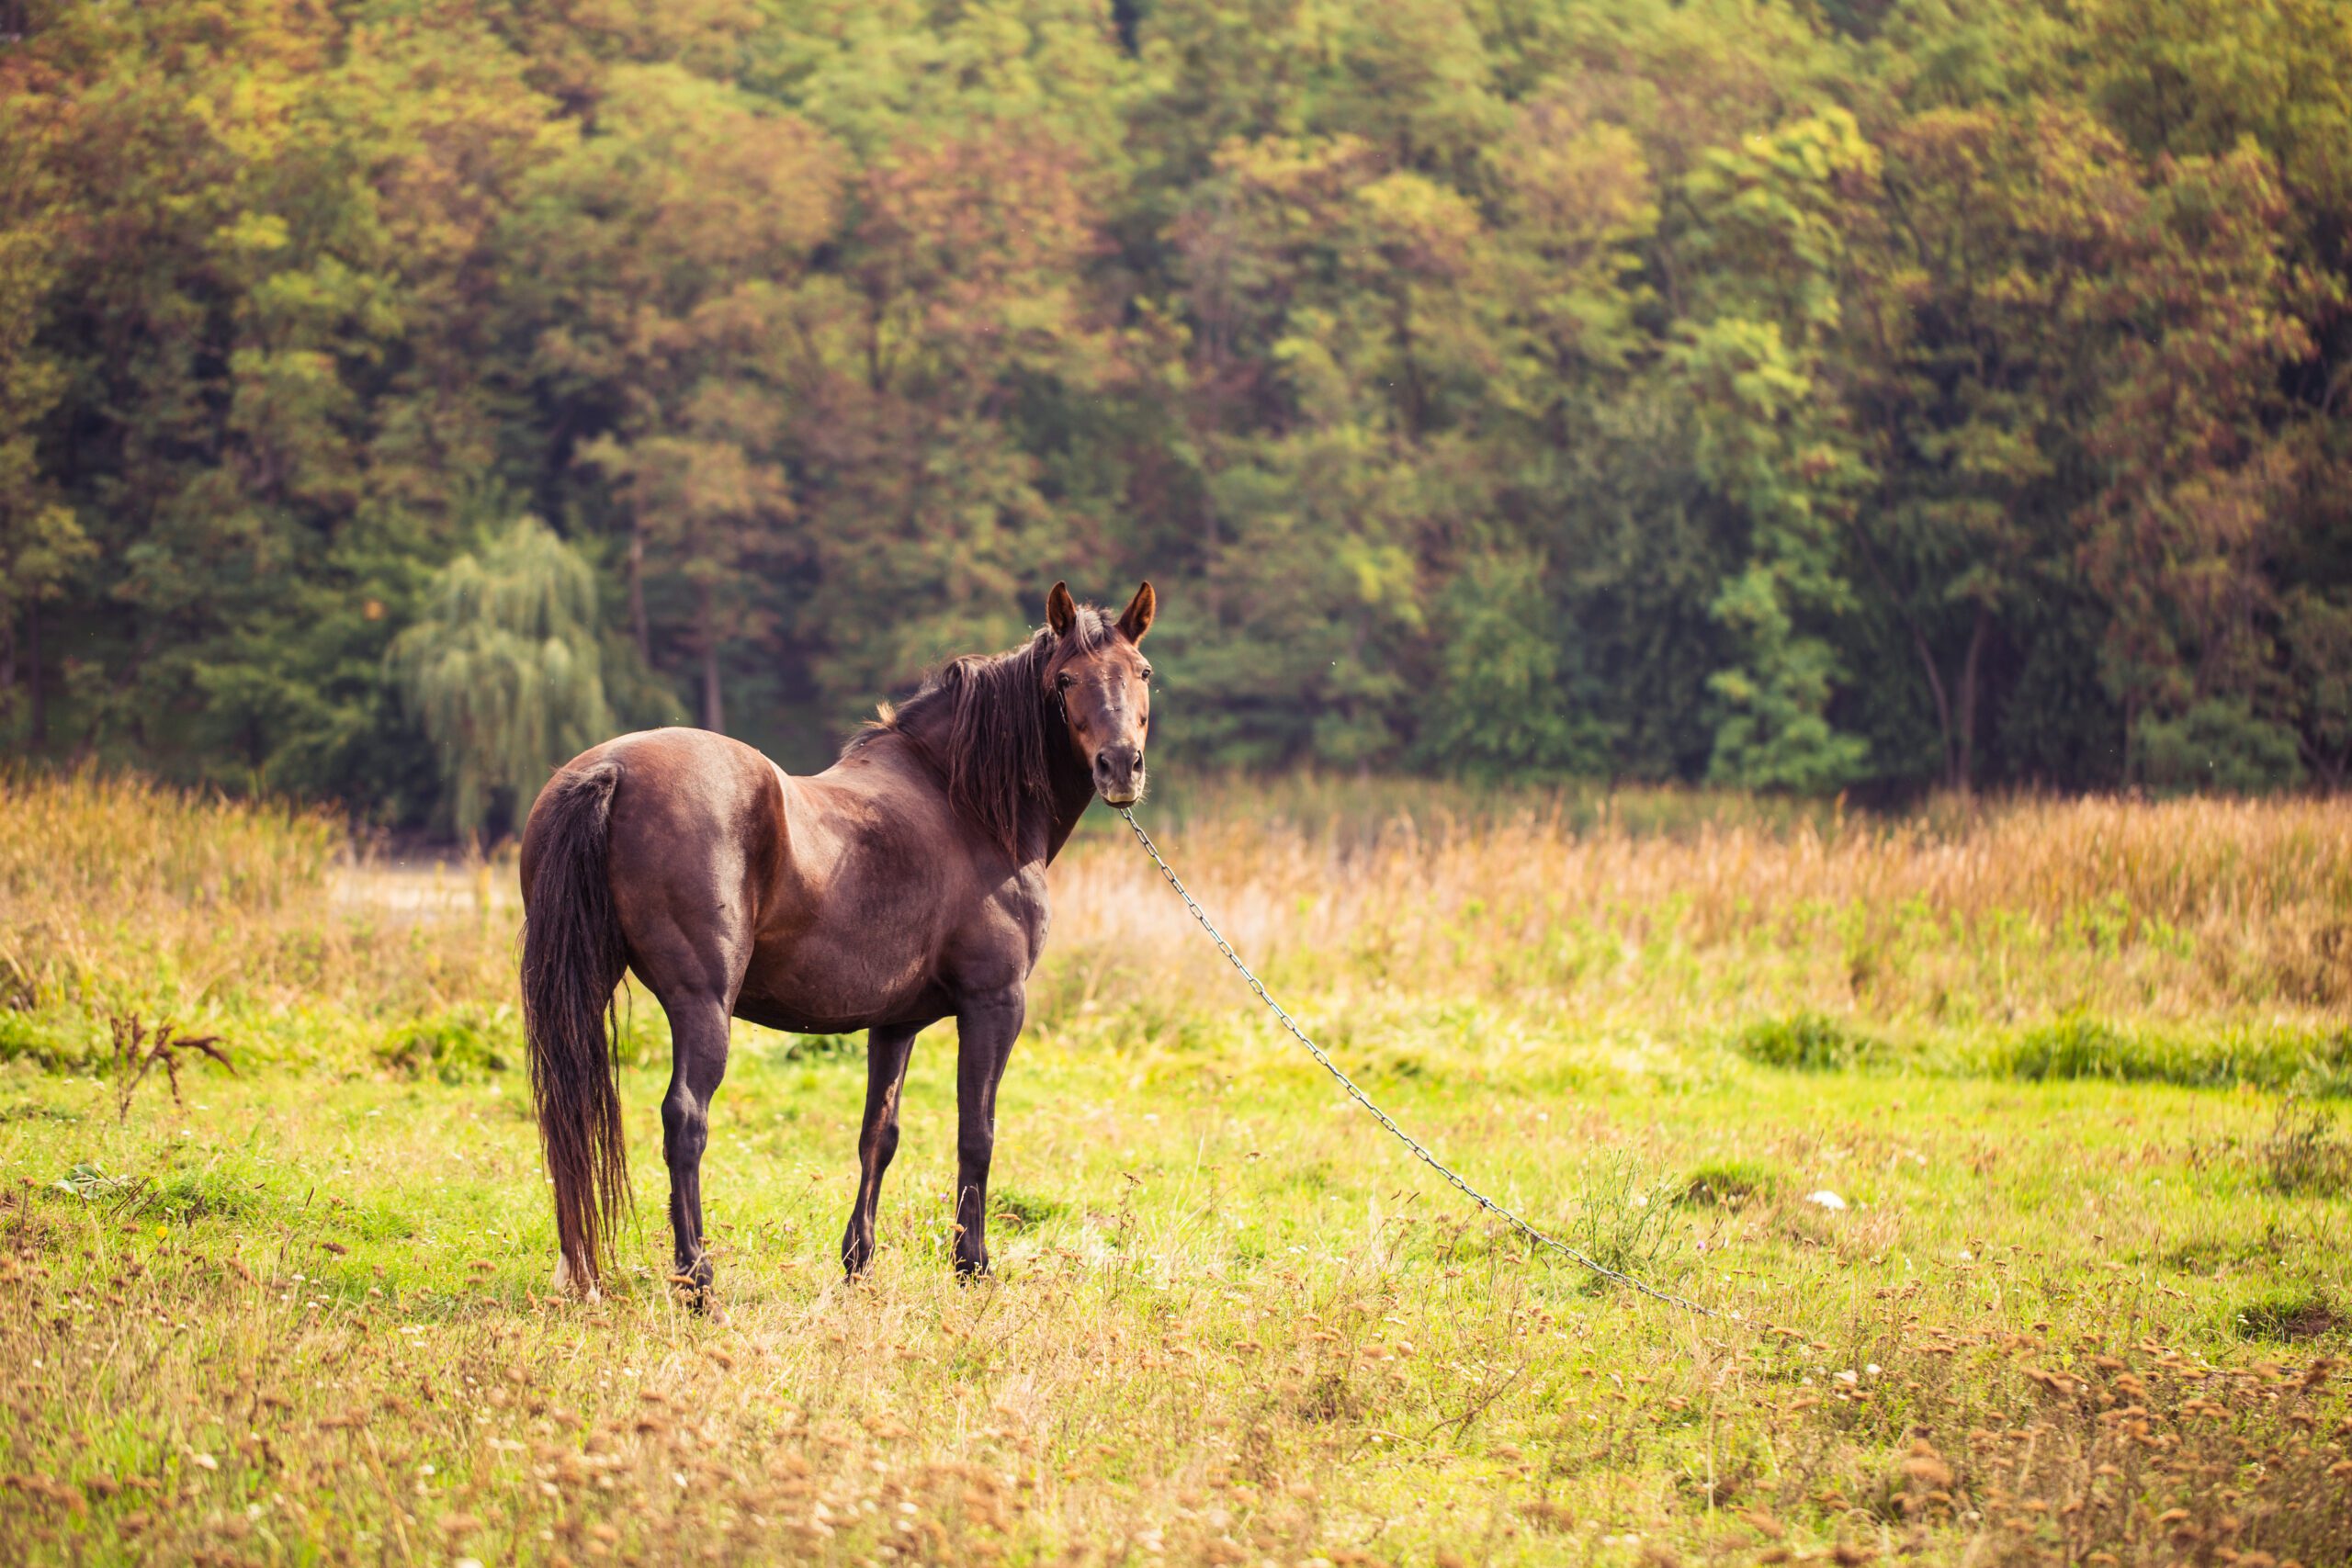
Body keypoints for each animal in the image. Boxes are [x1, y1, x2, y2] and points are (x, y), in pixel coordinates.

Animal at [517, 582, 1157, 1306]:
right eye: (1066, 679)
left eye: (1142, 672)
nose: (1120, 766)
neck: (963, 803)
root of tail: (611, 770)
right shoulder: (995, 1002)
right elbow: (977, 1132)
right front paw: (972, 1264)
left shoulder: (895, 1022)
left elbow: (879, 1134)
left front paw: (858, 1261)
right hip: (701, 1002)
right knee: (684, 1119)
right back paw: (697, 1280)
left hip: (584, 989)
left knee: (568, 1112)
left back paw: (581, 1272)